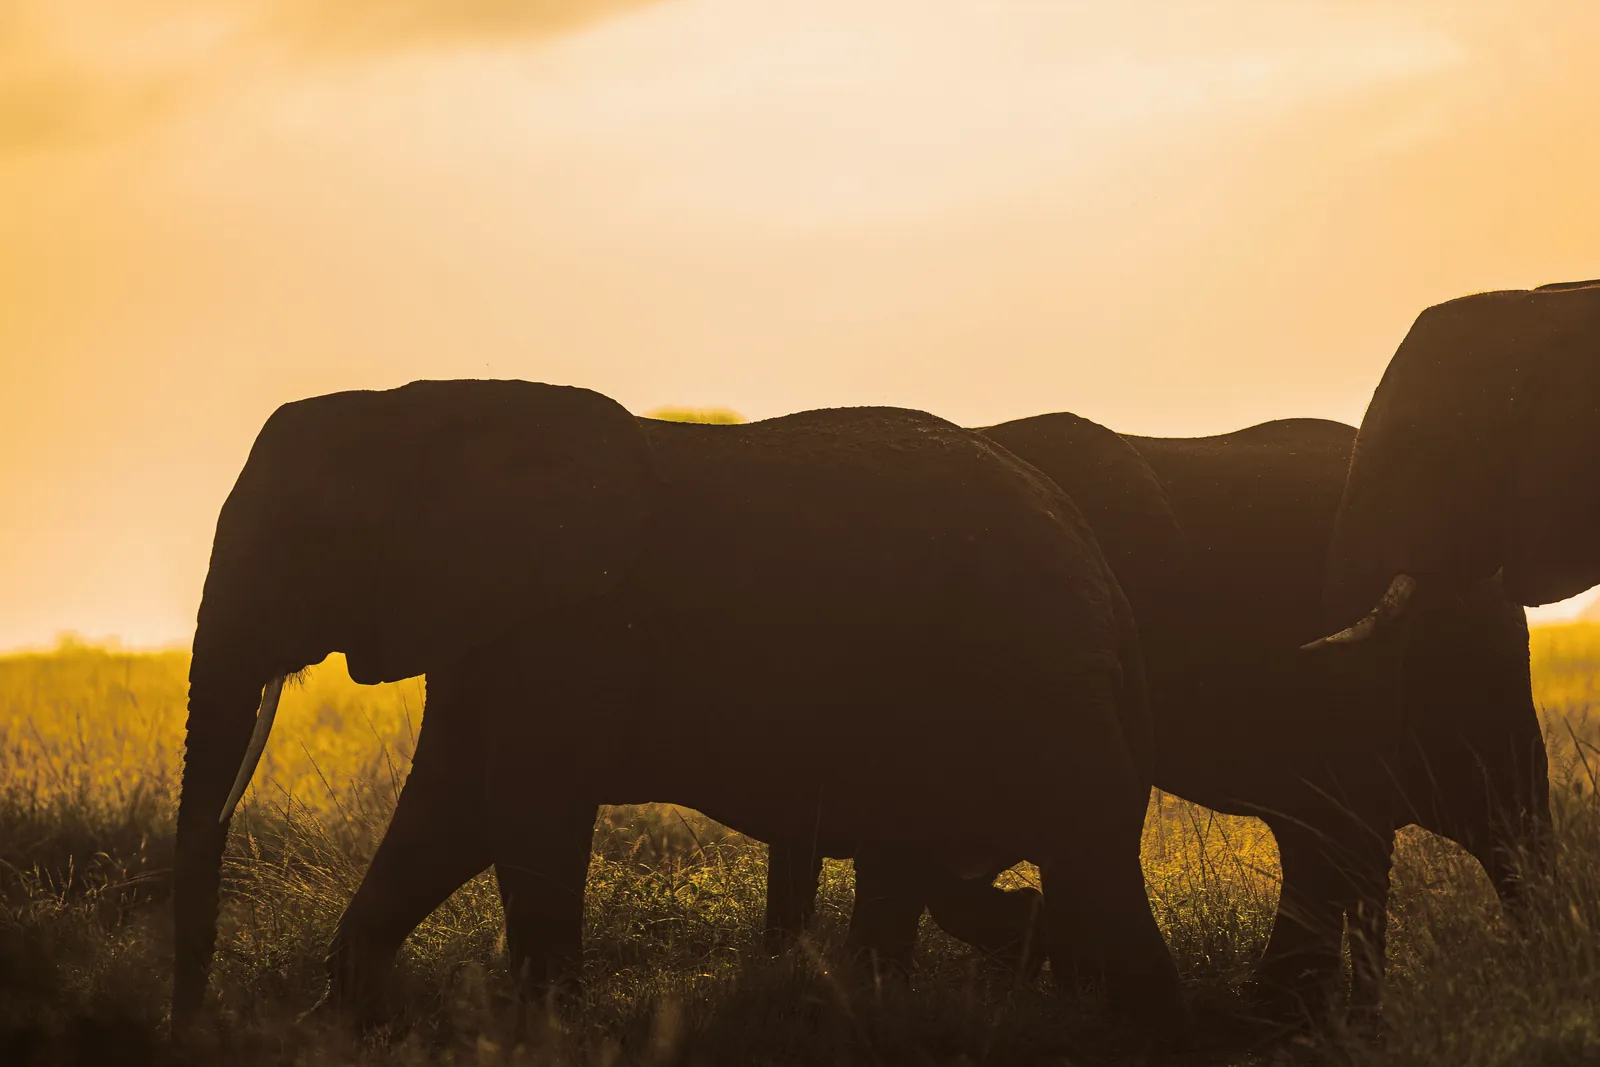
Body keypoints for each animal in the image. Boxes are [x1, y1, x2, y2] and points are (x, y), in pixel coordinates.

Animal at [170, 379, 1186, 1036]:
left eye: (305, 537)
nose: (196, 1017)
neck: (416, 405)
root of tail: (1100, 570)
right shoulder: (490, 618)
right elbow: (445, 813)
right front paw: (335, 1024)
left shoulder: (570, 625)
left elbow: (520, 810)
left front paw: (547, 1035)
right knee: (926, 862)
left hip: (1036, 677)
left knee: (1084, 851)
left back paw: (1134, 1025)